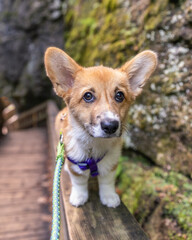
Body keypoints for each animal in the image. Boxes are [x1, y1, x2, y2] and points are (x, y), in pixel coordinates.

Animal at [44, 47, 158, 208]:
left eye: (119, 95)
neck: (95, 144)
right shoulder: (75, 163)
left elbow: (107, 181)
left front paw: (109, 197)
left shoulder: (111, 162)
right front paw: (79, 197)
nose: (110, 126)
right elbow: (79, 182)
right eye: (88, 96)